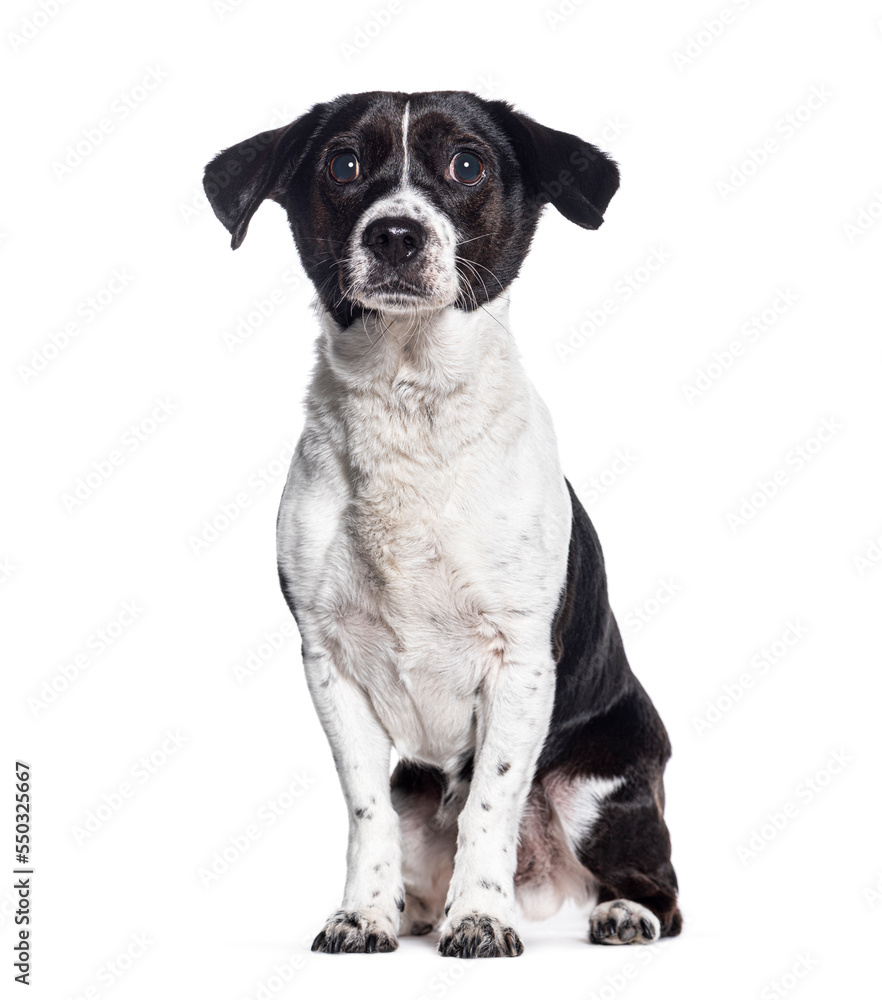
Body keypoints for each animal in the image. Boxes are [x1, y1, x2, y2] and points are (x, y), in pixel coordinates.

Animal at [205, 90, 680, 956]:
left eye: (467, 164)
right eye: (343, 163)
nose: (395, 233)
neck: (410, 400)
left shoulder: (520, 663)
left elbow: (490, 802)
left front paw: (482, 917)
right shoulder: (330, 663)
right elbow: (365, 812)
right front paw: (363, 913)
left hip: (596, 793)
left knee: (661, 888)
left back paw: (622, 911)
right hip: (418, 795)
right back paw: (413, 911)